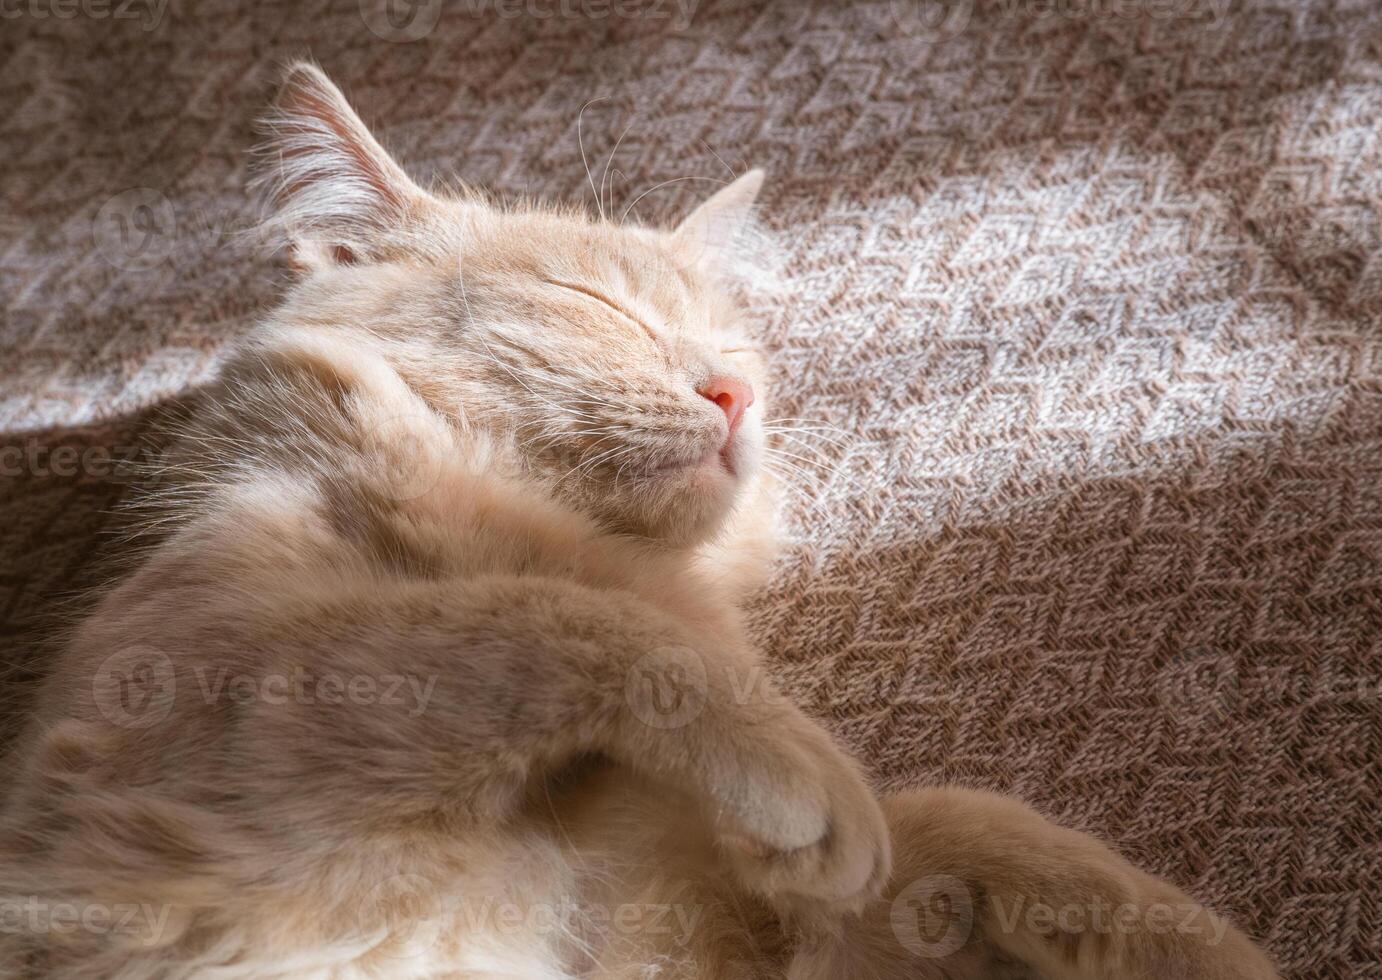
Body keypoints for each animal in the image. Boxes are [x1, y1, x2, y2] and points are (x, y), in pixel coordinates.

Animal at [0, 64, 1282, 973]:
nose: (732, 394)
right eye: (591, 301)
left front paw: (1182, 939)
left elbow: (958, 826)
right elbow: (557, 620)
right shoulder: (183, 736)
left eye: (736, 343)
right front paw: (796, 772)